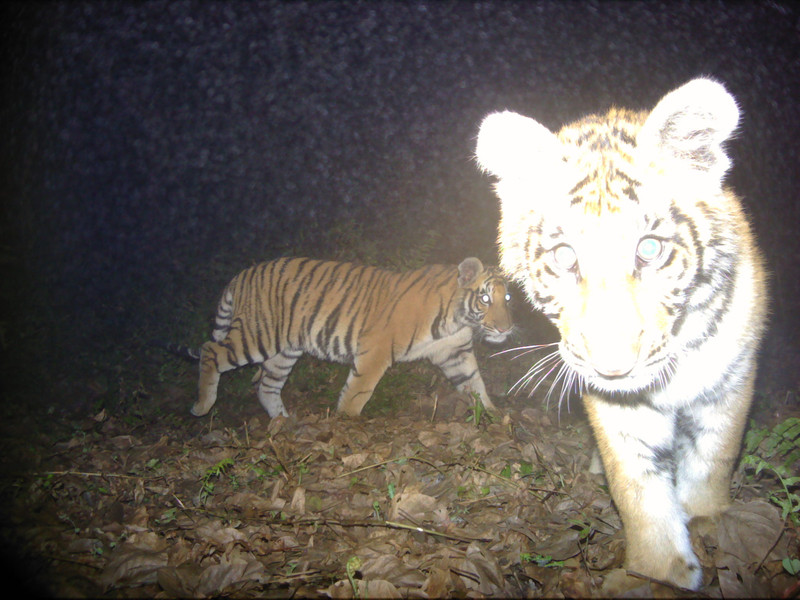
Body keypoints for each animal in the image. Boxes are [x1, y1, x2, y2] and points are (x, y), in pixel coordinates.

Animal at [185, 256, 513, 419]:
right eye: (485, 298)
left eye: (507, 298)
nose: (505, 329)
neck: (456, 320)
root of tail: (242, 274)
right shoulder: (375, 350)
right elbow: (359, 390)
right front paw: (347, 421)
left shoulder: (455, 352)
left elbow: (475, 384)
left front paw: (493, 416)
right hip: (258, 335)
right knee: (210, 350)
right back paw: (202, 406)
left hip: (284, 351)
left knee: (267, 387)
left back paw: (283, 422)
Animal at [475, 77, 767, 590]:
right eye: (565, 256)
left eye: (649, 249)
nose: (612, 366)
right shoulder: (618, 407)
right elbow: (635, 485)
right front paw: (659, 572)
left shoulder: (729, 382)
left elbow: (713, 457)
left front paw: (708, 521)